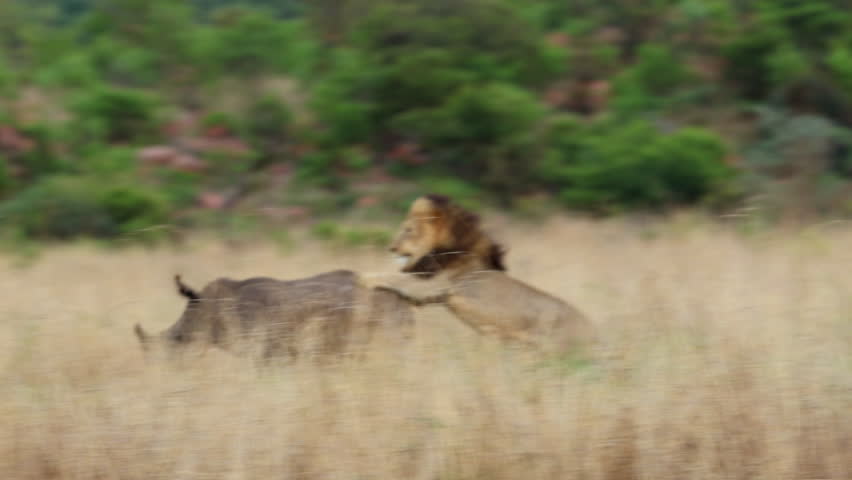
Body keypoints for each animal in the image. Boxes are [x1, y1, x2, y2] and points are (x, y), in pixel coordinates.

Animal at [381, 194, 595, 354]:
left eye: (408, 230)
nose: (391, 248)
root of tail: (591, 329)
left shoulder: (437, 286)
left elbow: (390, 278)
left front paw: (374, 278)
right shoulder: (432, 293)